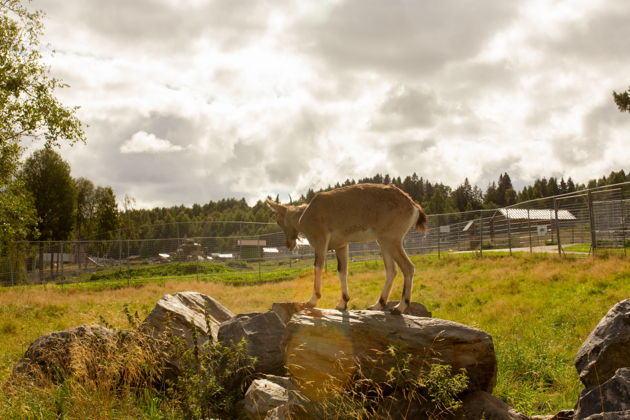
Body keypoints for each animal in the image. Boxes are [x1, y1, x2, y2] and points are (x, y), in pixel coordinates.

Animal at [268, 182, 430, 314]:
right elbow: (342, 271)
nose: (289, 244)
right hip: (383, 242)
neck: (306, 214)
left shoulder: (320, 240)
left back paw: (399, 307)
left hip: (391, 239)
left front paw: (311, 301)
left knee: (407, 267)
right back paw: (378, 304)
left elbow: (318, 267)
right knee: (392, 270)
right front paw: (342, 302)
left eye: (278, 221)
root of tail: (413, 206)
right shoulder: (341, 245)